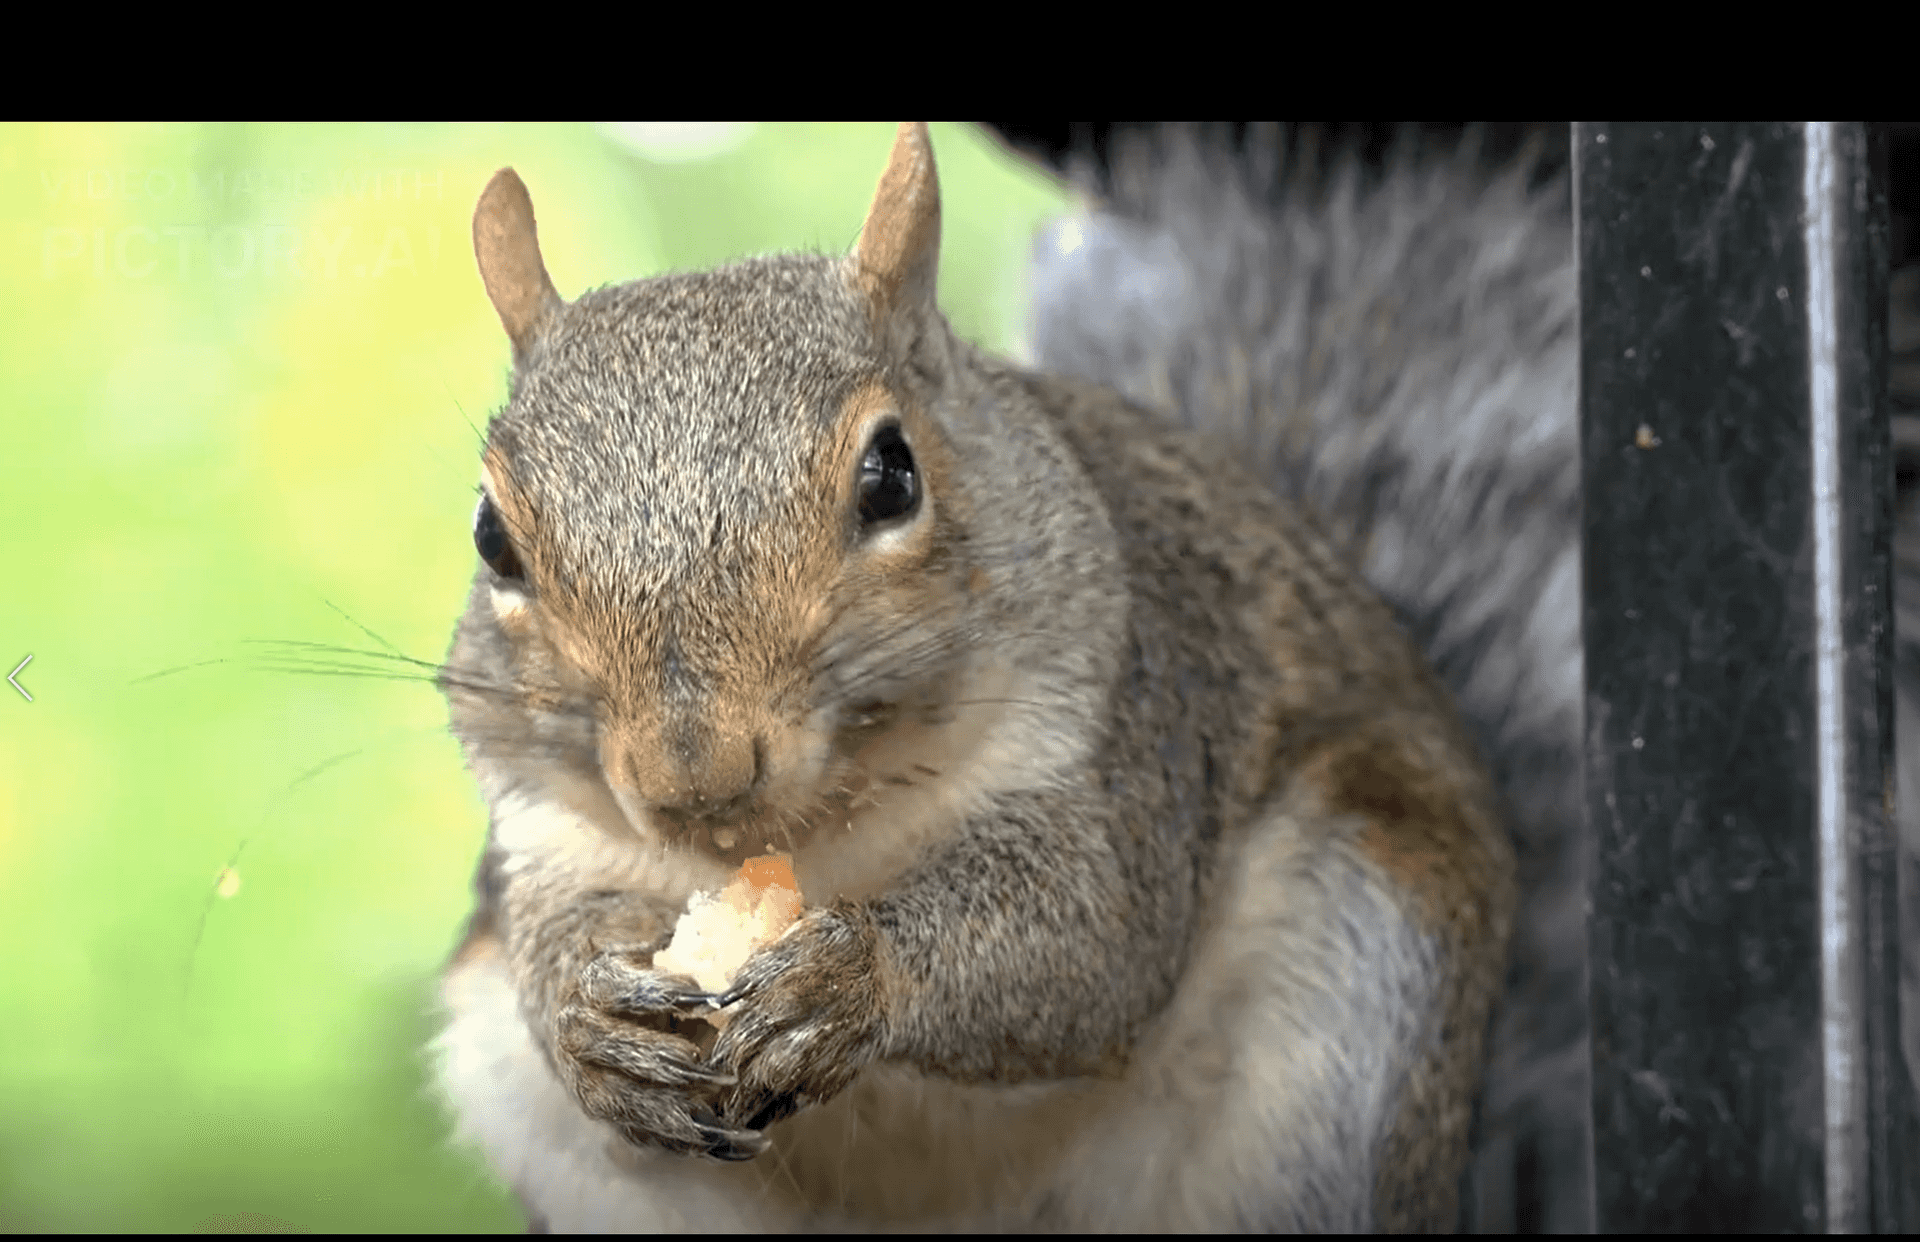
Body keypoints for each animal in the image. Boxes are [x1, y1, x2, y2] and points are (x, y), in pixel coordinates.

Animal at [429, 122, 1518, 1232]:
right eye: (490, 538)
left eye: (892, 475)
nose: (693, 780)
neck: (823, 833)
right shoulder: (543, 834)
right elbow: (545, 938)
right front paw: (589, 1021)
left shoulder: (1129, 732)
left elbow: (1087, 932)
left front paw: (855, 975)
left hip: (1362, 985)